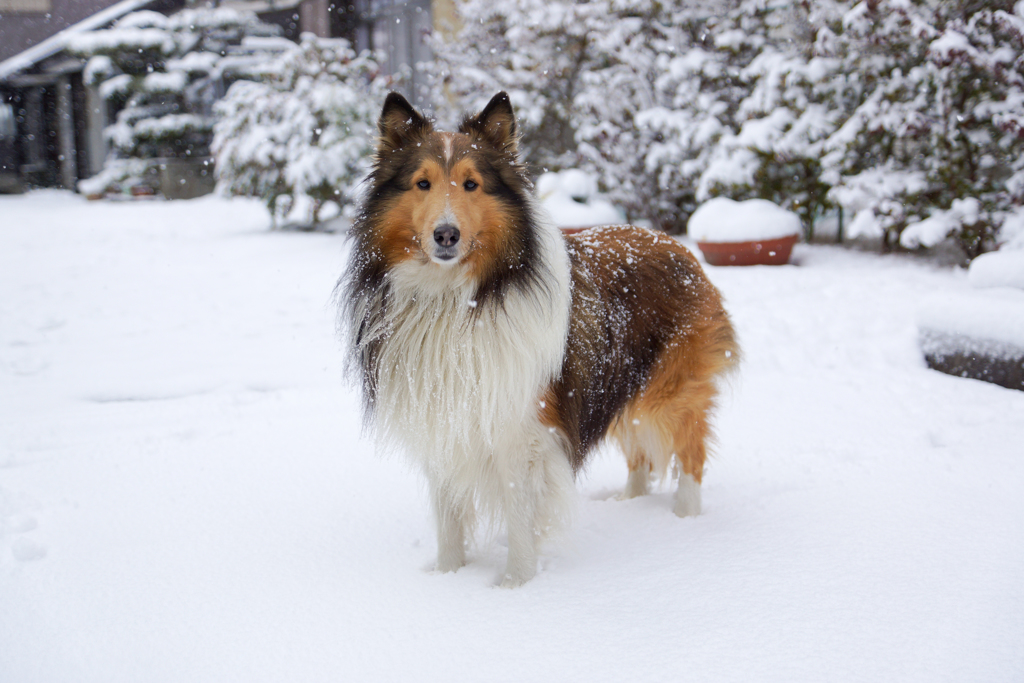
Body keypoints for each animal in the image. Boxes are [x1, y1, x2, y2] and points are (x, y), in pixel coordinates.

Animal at [342, 90, 737, 589]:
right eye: (422, 183)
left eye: (471, 184)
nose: (446, 235)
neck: (458, 300)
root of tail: (679, 247)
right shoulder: (446, 418)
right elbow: (448, 514)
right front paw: (447, 577)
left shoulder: (522, 430)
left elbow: (518, 512)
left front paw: (514, 586)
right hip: (619, 380)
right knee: (639, 453)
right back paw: (628, 503)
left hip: (670, 391)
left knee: (690, 452)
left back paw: (686, 522)